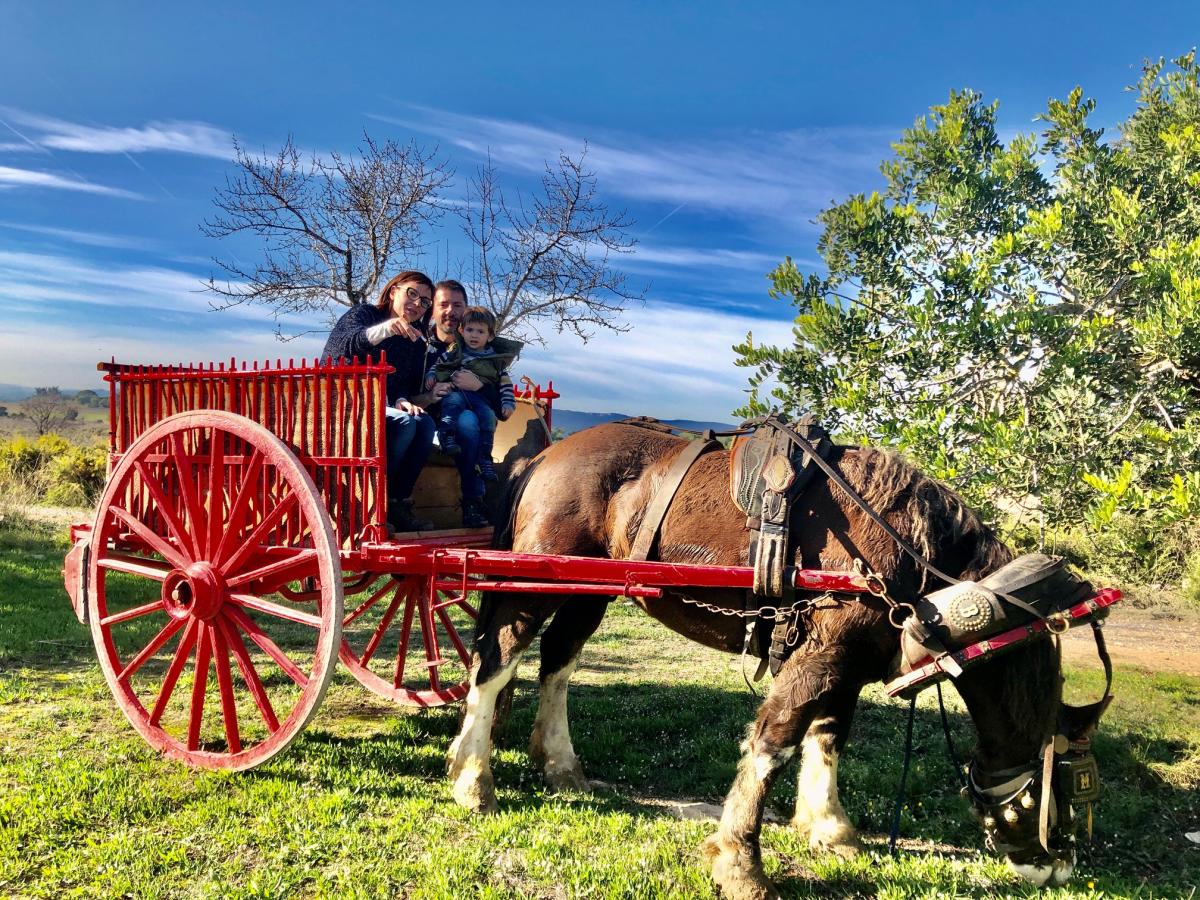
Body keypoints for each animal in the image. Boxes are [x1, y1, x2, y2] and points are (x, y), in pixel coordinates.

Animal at [448, 424, 1104, 900]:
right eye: (1065, 789)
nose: (1060, 867)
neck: (910, 558)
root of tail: (547, 455)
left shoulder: (848, 664)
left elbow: (828, 738)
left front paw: (829, 827)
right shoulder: (821, 656)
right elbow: (775, 741)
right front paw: (741, 862)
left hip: (593, 590)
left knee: (556, 663)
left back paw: (557, 762)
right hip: (535, 582)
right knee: (496, 661)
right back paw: (473, 779)